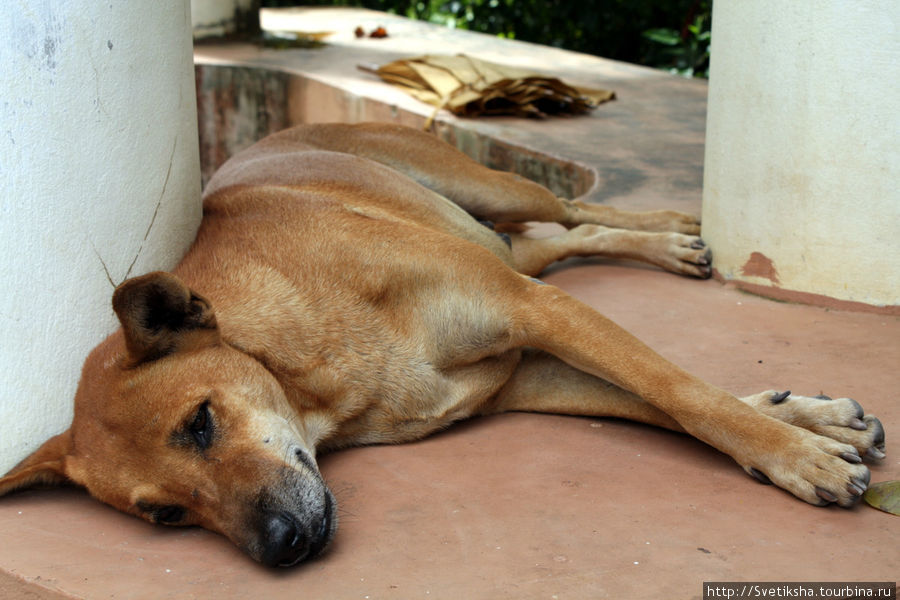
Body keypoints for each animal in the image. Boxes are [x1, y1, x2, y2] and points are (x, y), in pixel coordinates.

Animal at [0, 123, 884, 568]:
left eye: (201, 422)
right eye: (165, 516)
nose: (281, 549)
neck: (315, 375)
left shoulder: (534, 311)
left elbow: (684, 393)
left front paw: (795, 453)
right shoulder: (529, 370)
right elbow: (666, 403)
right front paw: (808, 425)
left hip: (490, 187)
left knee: (565, 208)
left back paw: (669, 230)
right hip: (499, 237)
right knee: (555, 240)